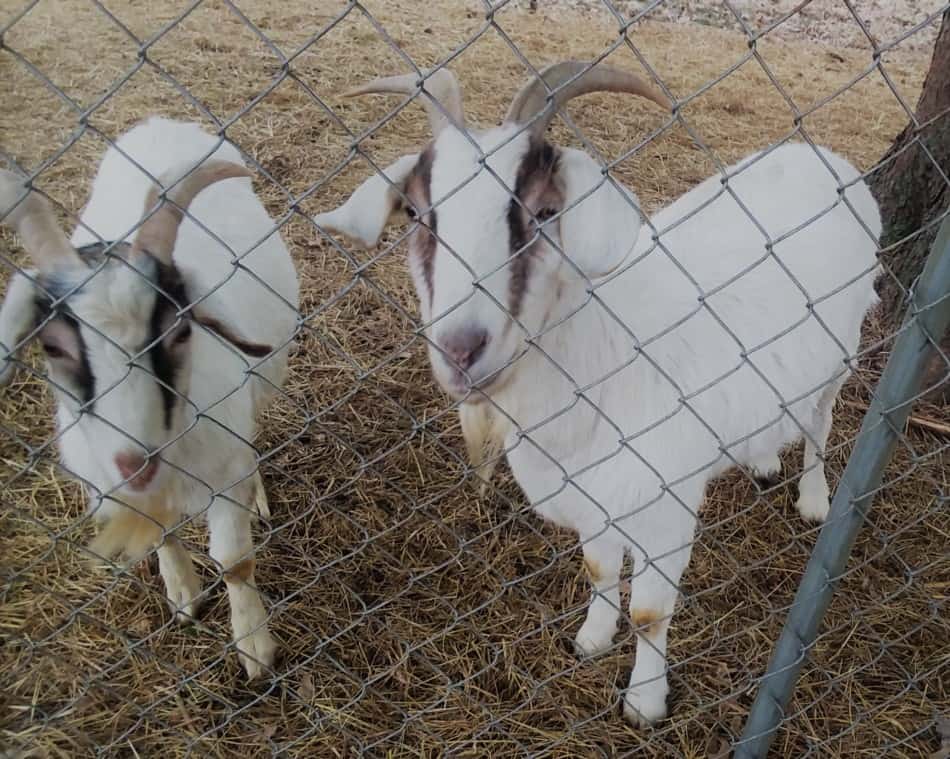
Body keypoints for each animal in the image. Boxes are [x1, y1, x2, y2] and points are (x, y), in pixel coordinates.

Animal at [0, 117, 300, 676]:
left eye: (180, 331)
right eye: (54, 346)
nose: (134, 463)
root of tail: (160, 123)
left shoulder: (223, 473)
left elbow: (235, 560)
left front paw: (255, 647)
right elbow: (161, 534)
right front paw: (183, 594)